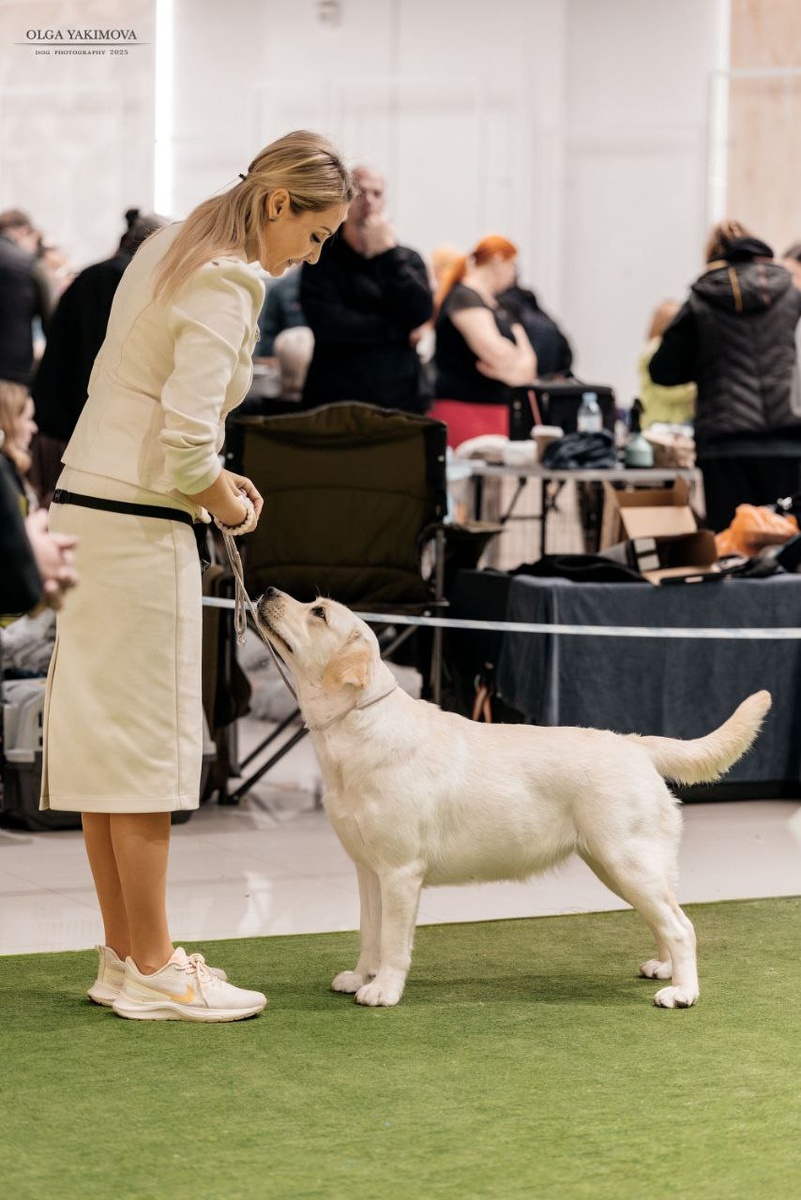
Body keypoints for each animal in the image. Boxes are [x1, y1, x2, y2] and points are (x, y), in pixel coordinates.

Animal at [256, 587, 771, 1010]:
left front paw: (383, 990)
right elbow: (369, 932)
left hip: (626, 860)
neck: (359, 726)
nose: (267, 591)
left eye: (318, 612)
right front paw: (361, 976)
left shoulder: (401, 872)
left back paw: (682, 993)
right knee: (666, 916)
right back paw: (663, 969)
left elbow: (394, 941)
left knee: (682, 927)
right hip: (623, 863)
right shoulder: (368, 869)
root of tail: (636, 744)